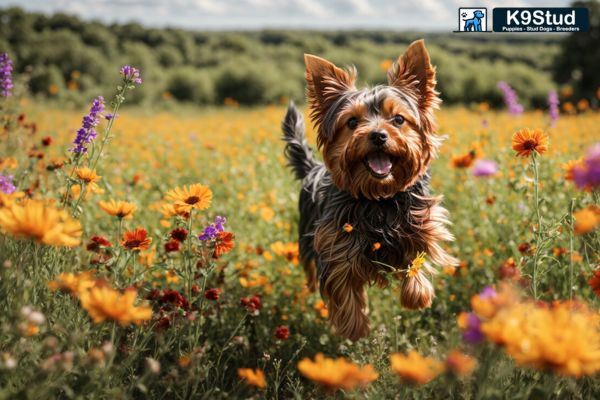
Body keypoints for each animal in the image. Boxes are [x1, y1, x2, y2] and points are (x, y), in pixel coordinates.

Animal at [284, 39, 458, 340]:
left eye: (398, 119)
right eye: (352, 122)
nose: (378, 135)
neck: (379, 198)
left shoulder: (422, 221)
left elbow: (420, 252)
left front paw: (417, 296)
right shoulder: (334, 244)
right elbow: (342, 288)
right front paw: (354, 329)